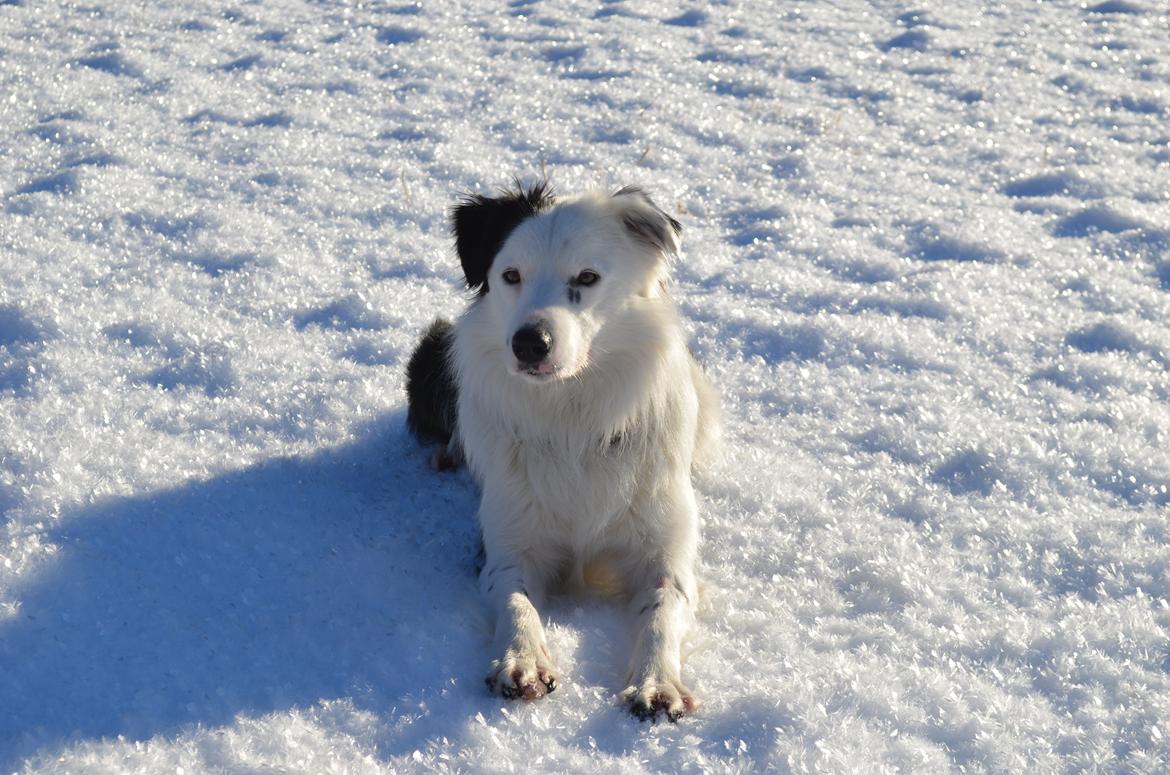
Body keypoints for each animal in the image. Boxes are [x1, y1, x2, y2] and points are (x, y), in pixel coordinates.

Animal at [407, 182, 716, 721]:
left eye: (587, 278)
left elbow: (663, 607)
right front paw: (524, 658)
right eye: (511, 275)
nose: (530, 342)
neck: (572, 417)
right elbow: (515, 597)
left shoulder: (666, 545)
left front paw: (658, 683)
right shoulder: (507, 539)